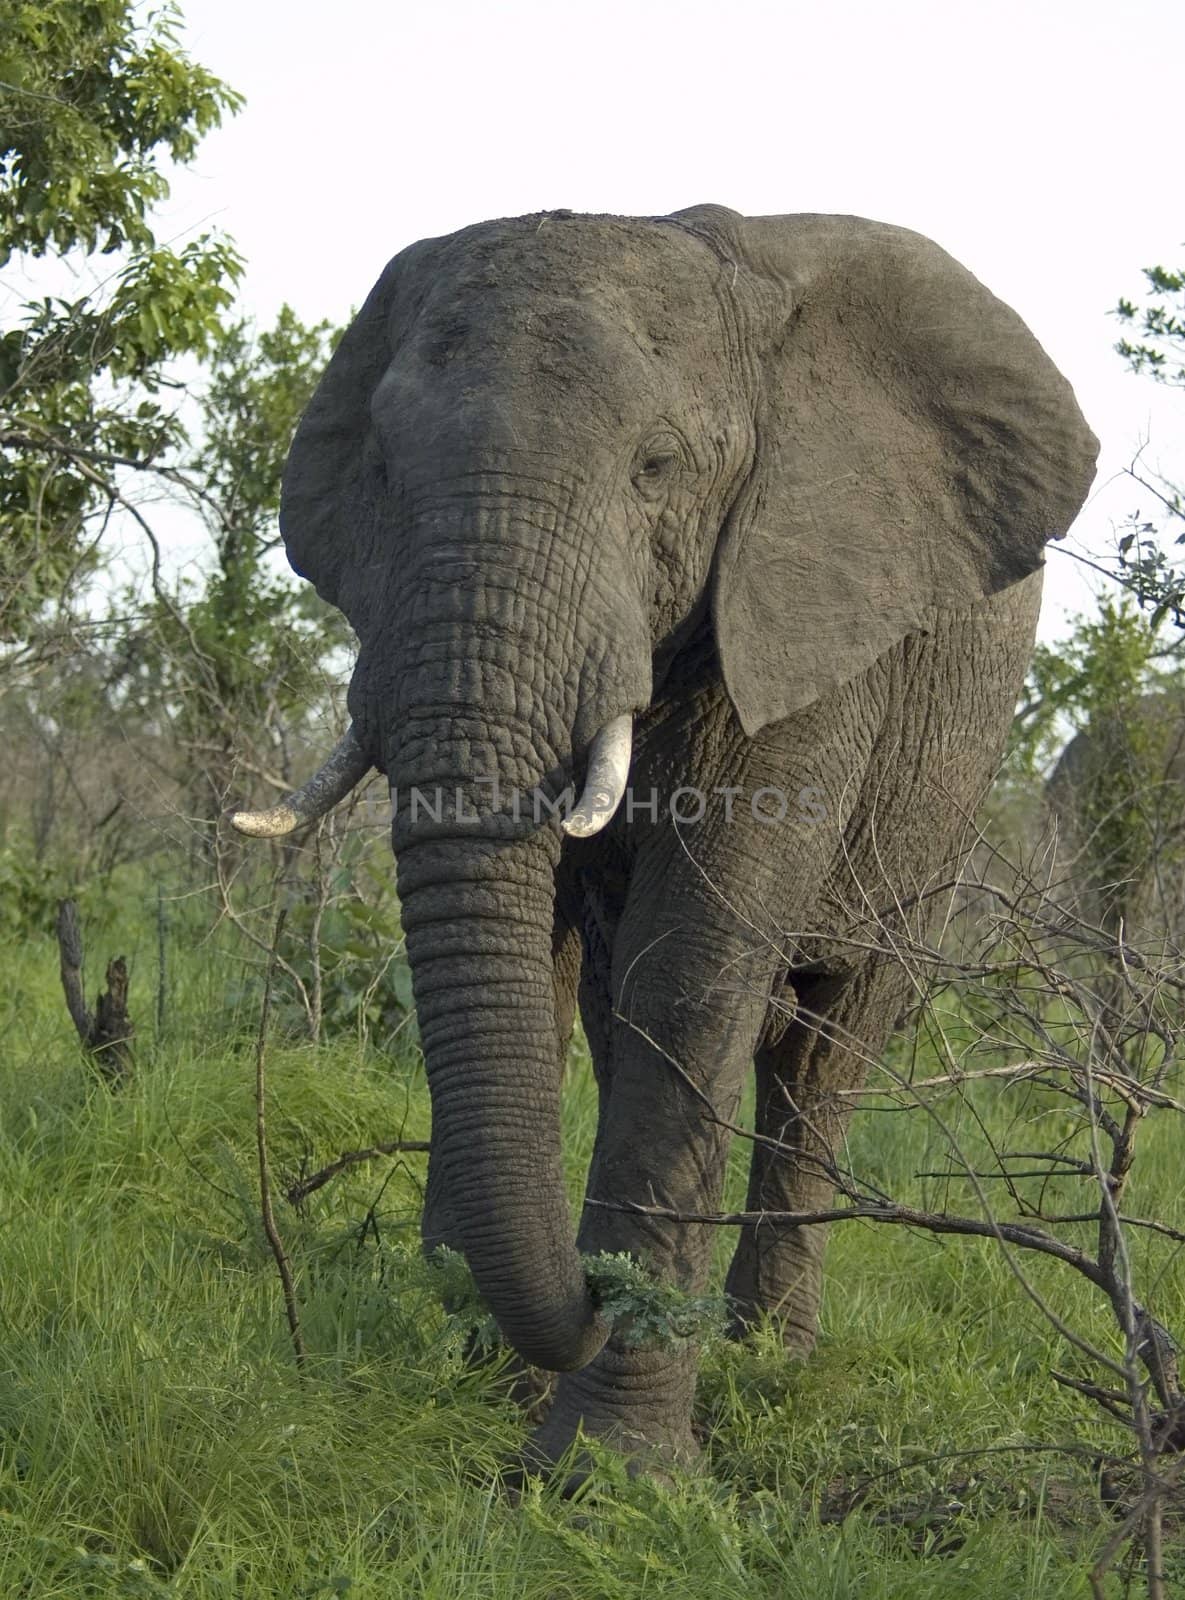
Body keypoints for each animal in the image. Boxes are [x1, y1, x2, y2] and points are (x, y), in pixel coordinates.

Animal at [231, 209, 1100, 1472]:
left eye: (658, 468)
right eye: (384, 470)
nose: (588, 1297)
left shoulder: (801, 613)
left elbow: (689, 973)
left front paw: (607, 1469)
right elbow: (547, 968)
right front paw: (482, 1365)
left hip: (948, 787)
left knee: (828, 1046)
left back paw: (766, 1356)